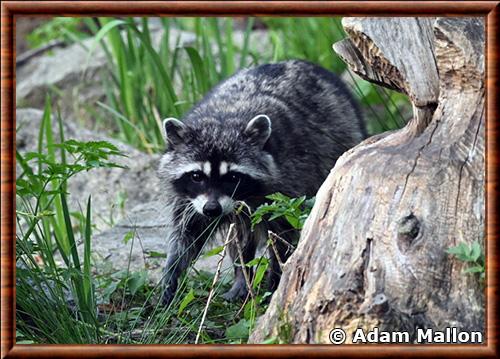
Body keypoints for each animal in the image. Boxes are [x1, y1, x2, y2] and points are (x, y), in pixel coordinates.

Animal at [158, 59, 366, 306]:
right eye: (197, 176)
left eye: (233, 178)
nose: (212, 209)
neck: (223, 119)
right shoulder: (190, 200)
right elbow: (187, 235)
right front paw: (171, 276)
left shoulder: (288, 185)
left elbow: (283, 236)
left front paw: (276, 282)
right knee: (240, 237)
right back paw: (241, 278)